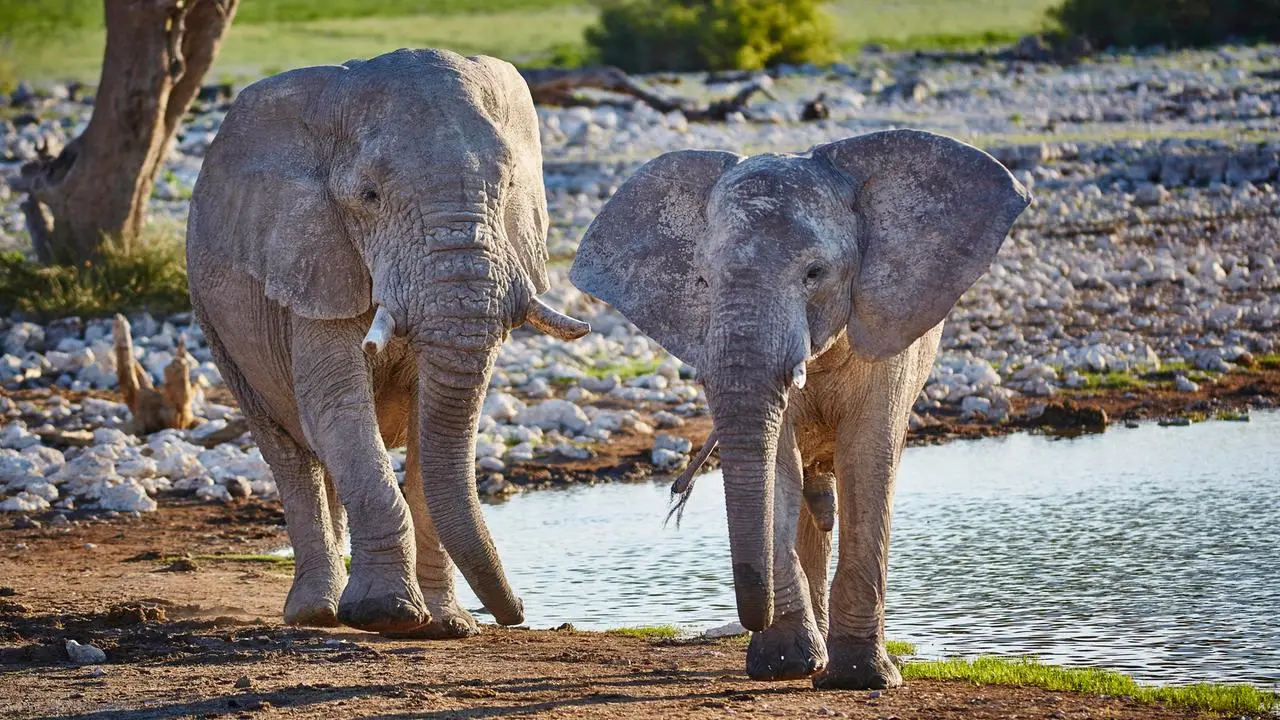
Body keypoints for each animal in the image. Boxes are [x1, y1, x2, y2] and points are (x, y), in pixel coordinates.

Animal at [186, 49, 586, 632]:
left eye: (510, 186)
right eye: (369, 197)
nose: (517, 614)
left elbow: (436, 424)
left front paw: (446, 626)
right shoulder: (314, 261)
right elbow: (338, 407)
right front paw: (387, 615)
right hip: (216, 324)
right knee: (289, 451)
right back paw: (314, 614)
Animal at [570, 131, 1029, 686]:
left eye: (815, 273)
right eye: (702, 281)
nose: (751, 616)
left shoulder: (888, 334)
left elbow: (869, 456)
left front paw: (860, 678)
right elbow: (778, 465)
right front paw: (783, 663)